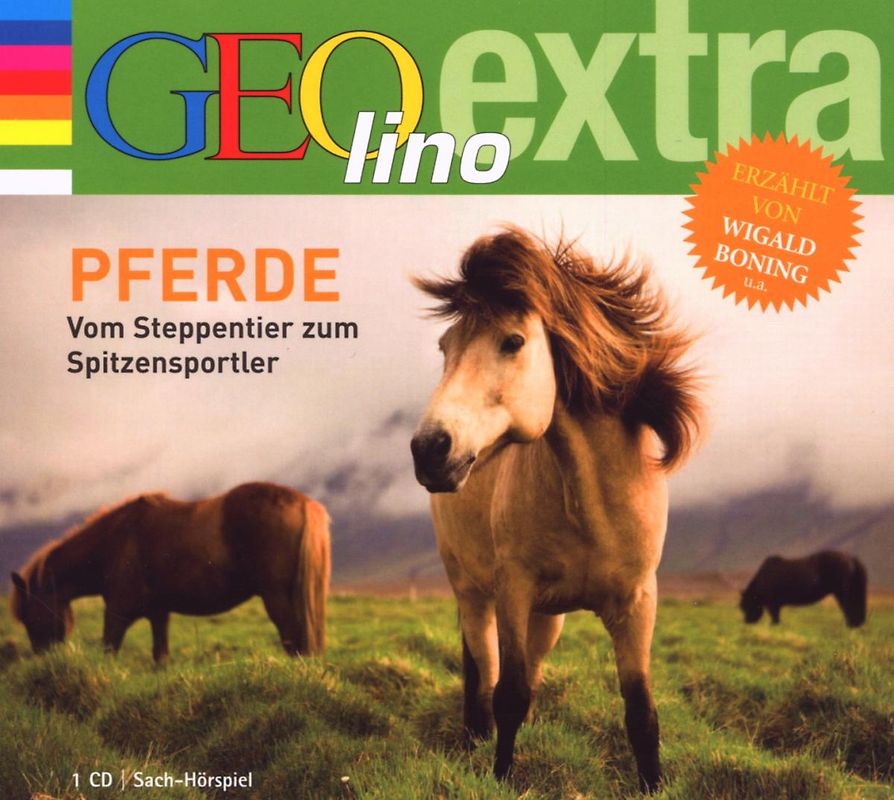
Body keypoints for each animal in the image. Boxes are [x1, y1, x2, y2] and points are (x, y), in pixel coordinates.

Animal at [10, 482, 331, 661]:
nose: (45, 663)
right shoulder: (158, 613)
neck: (116, 541)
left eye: (29, 616)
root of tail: (304, 502)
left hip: (275, 597)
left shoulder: (117, 611)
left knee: (293, 640)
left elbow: (108, 651)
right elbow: (160, 657)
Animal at [410, 228, 701, 793]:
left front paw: (653, 784)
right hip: (473, 592)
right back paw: (471, 737)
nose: (430, 449)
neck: (591, 504)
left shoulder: (638, 602)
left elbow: (640, 712)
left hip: (548, 618)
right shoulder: (512, 591)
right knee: (482, 669)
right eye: (444, 347)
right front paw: (501, 777)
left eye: (513, 341)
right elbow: (508, 694)